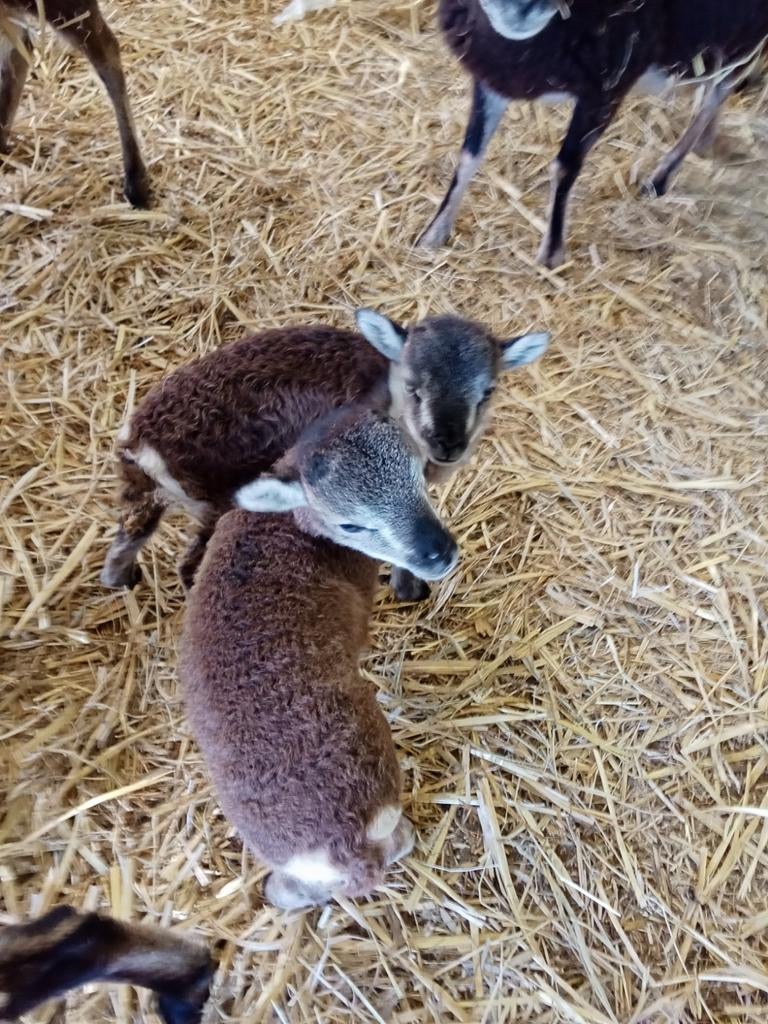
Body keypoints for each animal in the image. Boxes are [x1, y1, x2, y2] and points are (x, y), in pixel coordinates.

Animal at [101, 308, 548, 601]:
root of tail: (143, 443)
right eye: (413, 387)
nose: (448, 444)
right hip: (218, 500)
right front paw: (409, 589)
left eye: (488, 390)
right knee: (190, 565)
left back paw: (122, 580)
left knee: (127, 539)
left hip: (146, 496)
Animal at [181, 402, 459, 910]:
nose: (440, 552)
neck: (288, 525)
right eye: (350, 524)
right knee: (396, 845)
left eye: (416, 474)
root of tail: (343, 848)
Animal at [418, 0, 768, 267]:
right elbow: (469, 156)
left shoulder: (605, 89)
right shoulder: (494, 74)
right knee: (713, 82)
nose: (518, 12)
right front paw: (433, 234)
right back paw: (704, 142)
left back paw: (661, 178)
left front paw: (551, 255)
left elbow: (565, 167)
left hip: (746, 32)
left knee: (719, 90)